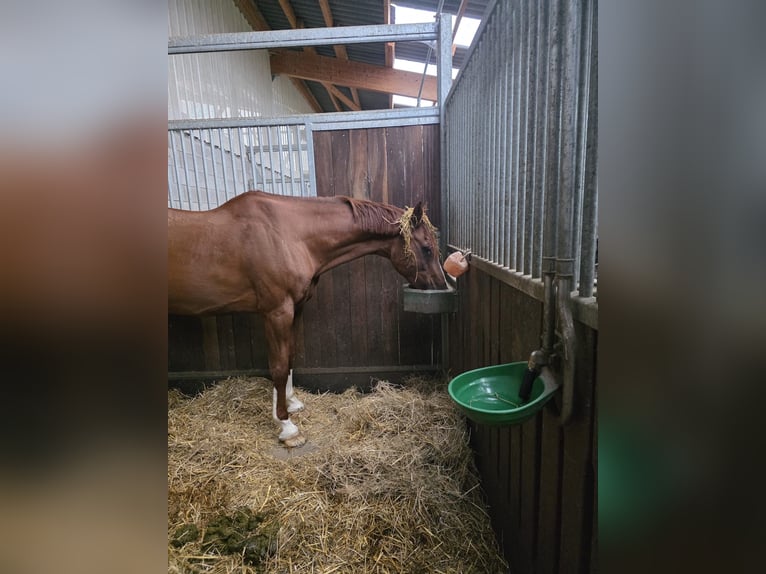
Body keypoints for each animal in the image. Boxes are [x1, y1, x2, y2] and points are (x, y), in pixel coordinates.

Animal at [168, 190, 448, 447]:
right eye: (426, 249)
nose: (441, 286)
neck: (287, 234)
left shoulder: (295, 309)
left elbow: (290, 357)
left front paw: (291, 404)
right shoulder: (276, 312)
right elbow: (279, 366)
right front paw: (286, 425)